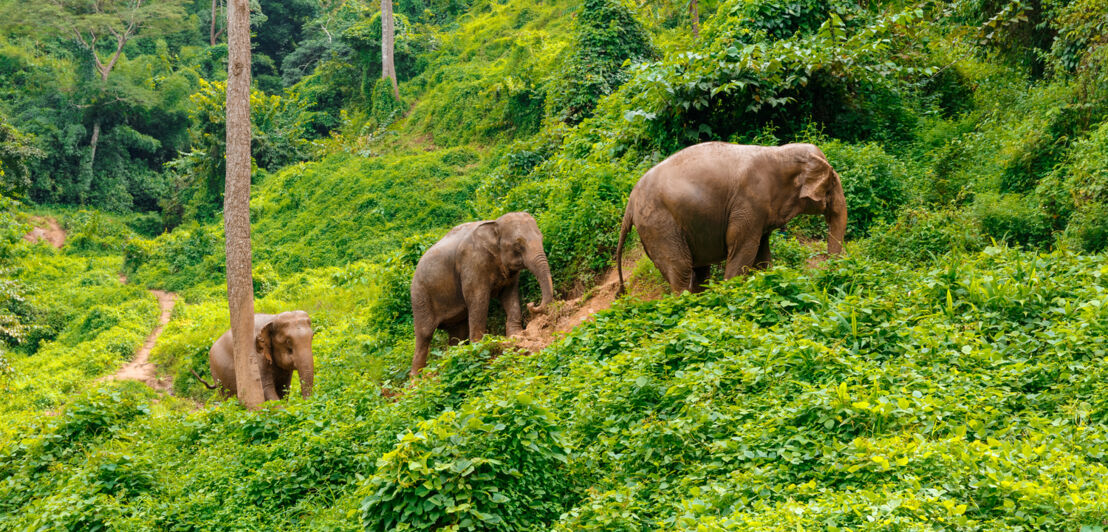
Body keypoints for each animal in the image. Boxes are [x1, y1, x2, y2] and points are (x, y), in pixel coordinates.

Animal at [409, 209, 554, 376]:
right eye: (518, 244)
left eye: (541, 238)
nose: (532, 304)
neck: (494, 223)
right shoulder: (472, 264)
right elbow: (478, 300)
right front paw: (479, 347)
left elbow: (510, 295)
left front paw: (515, 335)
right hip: (420, 295)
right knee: (424, 334)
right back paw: (416, 378)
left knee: (457, 331)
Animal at [616, 142, 846, 292]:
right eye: (832, 183)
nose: (826, 273)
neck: (780, 152)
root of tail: (630, 203)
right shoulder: (748, 202)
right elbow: (743, 247)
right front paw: (731, 291)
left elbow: (762, 253)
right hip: (659, 224)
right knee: (681, 268)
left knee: (698, 270)